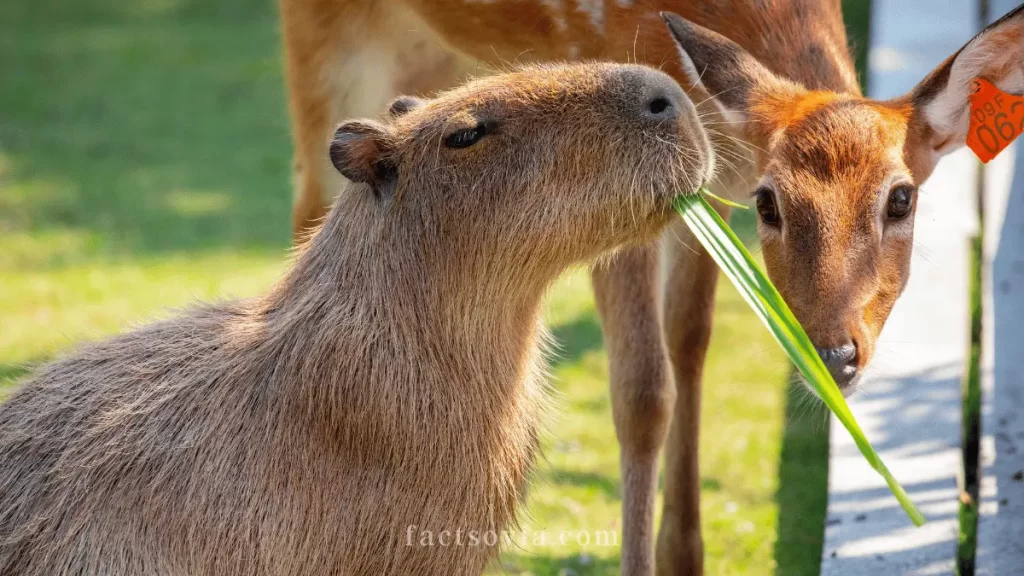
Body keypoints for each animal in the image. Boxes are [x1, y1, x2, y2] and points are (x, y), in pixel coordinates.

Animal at [278, 1, 1024, 569]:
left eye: (901, 199)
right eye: (771, 204)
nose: (834, 355)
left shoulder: (706, 194)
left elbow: (690, 344)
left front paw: (684, 556)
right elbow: (642, 392)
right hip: (325, 41)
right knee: (311, 206)